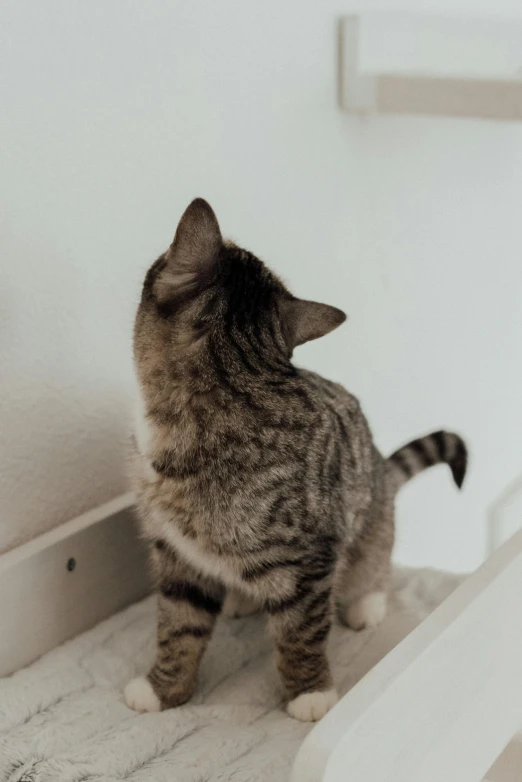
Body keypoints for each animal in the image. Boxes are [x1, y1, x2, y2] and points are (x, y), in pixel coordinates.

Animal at [124, 199, 466, 724]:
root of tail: (381, 467)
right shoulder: (177, 554)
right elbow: (179, 626)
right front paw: (164, 689)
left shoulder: (312, 555)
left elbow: (300, 632)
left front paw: (311, 692)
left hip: (369, 526)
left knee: (374, 562)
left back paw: (366, 603)